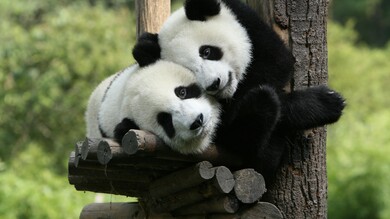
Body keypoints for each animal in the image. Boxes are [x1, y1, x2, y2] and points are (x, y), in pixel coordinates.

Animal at [132, 0, 344, 181]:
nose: (214, 84)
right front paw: (326, 103)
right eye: (191, 71)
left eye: (206, 51)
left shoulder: (249, 25)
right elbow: (230, 126)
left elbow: (278, 62)